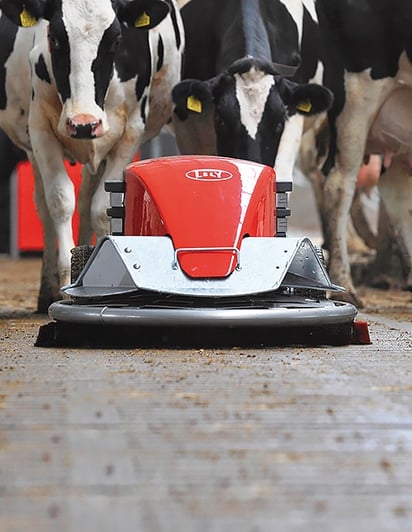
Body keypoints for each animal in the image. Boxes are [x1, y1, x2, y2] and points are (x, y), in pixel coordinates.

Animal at [0, 0, 183, 312]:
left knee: (86, 199)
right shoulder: (40, 128)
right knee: (45, 206)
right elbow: (60, 201)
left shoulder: (130, 132)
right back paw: (48, 288)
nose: (83, 123)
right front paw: (65, 280)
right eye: (54, 38)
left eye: (116, 40)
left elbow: (100, 208)